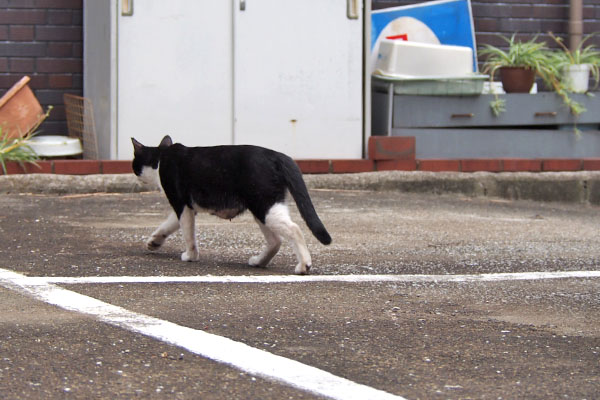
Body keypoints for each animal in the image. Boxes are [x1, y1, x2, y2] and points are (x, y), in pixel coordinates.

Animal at [130, 136, 332, 274]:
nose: (137, 178)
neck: (161, 158)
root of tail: (277, 155)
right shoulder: (186, 206)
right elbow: (168, 225)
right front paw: (154, 242)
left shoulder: (181, 204)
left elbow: (188, 234)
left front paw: (190, 256)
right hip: (263, 208)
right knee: (276, 240)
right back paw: (258, 261)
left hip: (264, 205)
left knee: (294, 229)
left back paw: (303, 265)